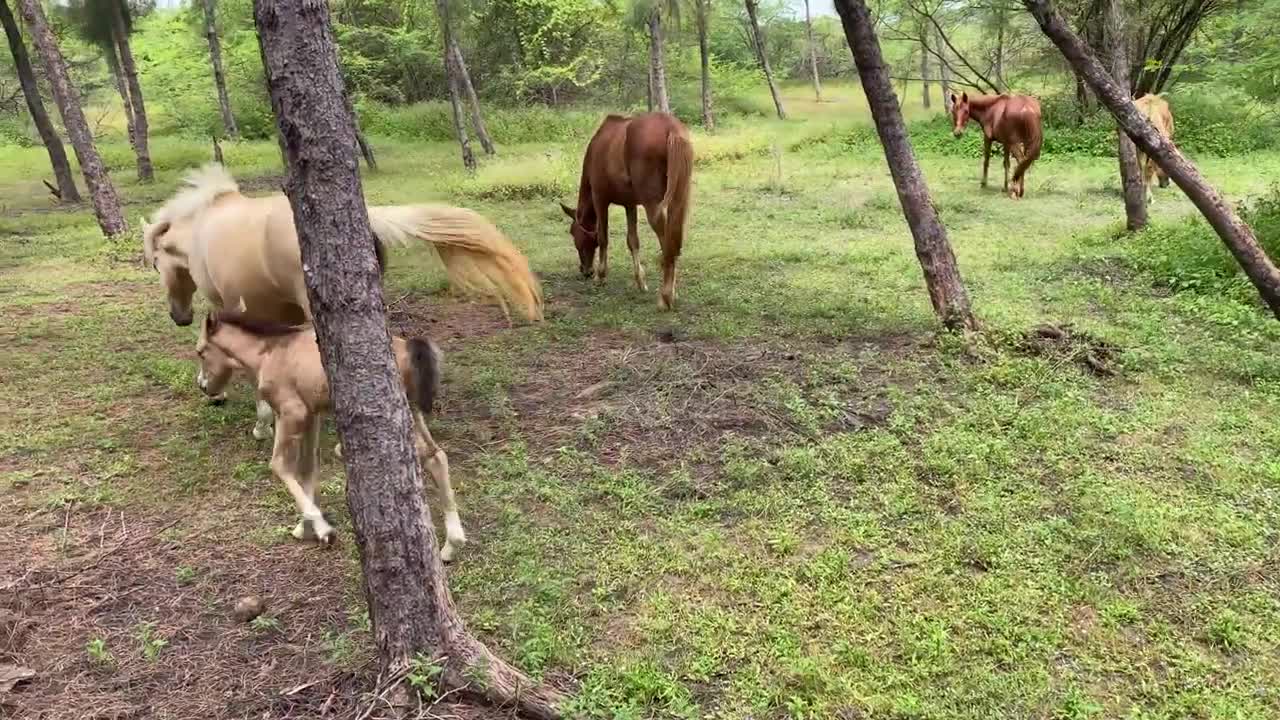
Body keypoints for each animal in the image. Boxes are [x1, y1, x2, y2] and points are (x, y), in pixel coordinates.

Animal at [146, 163, 545, 438]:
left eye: (153, 263)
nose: (178, 316)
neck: (203, 229)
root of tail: (367, 219)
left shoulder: (231, 305)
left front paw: (262, 423)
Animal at [194, 311, 465, 558]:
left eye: (200, 352)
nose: (203, 387)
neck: (270, 354)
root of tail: (410, 347)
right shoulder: (311, 416)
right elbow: (307, 469)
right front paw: (304, 528)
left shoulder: (292, 413)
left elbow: (279, 465)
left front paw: (323, 529)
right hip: (414, 411)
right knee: (436, 456)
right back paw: (451, 545)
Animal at [560, 110, 696, 307]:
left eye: (573, 233)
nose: (585, 271)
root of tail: (671, 129)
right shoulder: (630, 204)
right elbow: (633, 241)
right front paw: (640, 282)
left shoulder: (600, 199)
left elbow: (603, 238)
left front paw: (601, 276)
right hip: (678, 199)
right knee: (674, 240)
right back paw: (671, 292)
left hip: (652, 205)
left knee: (667, 243)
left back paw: (666, 297)